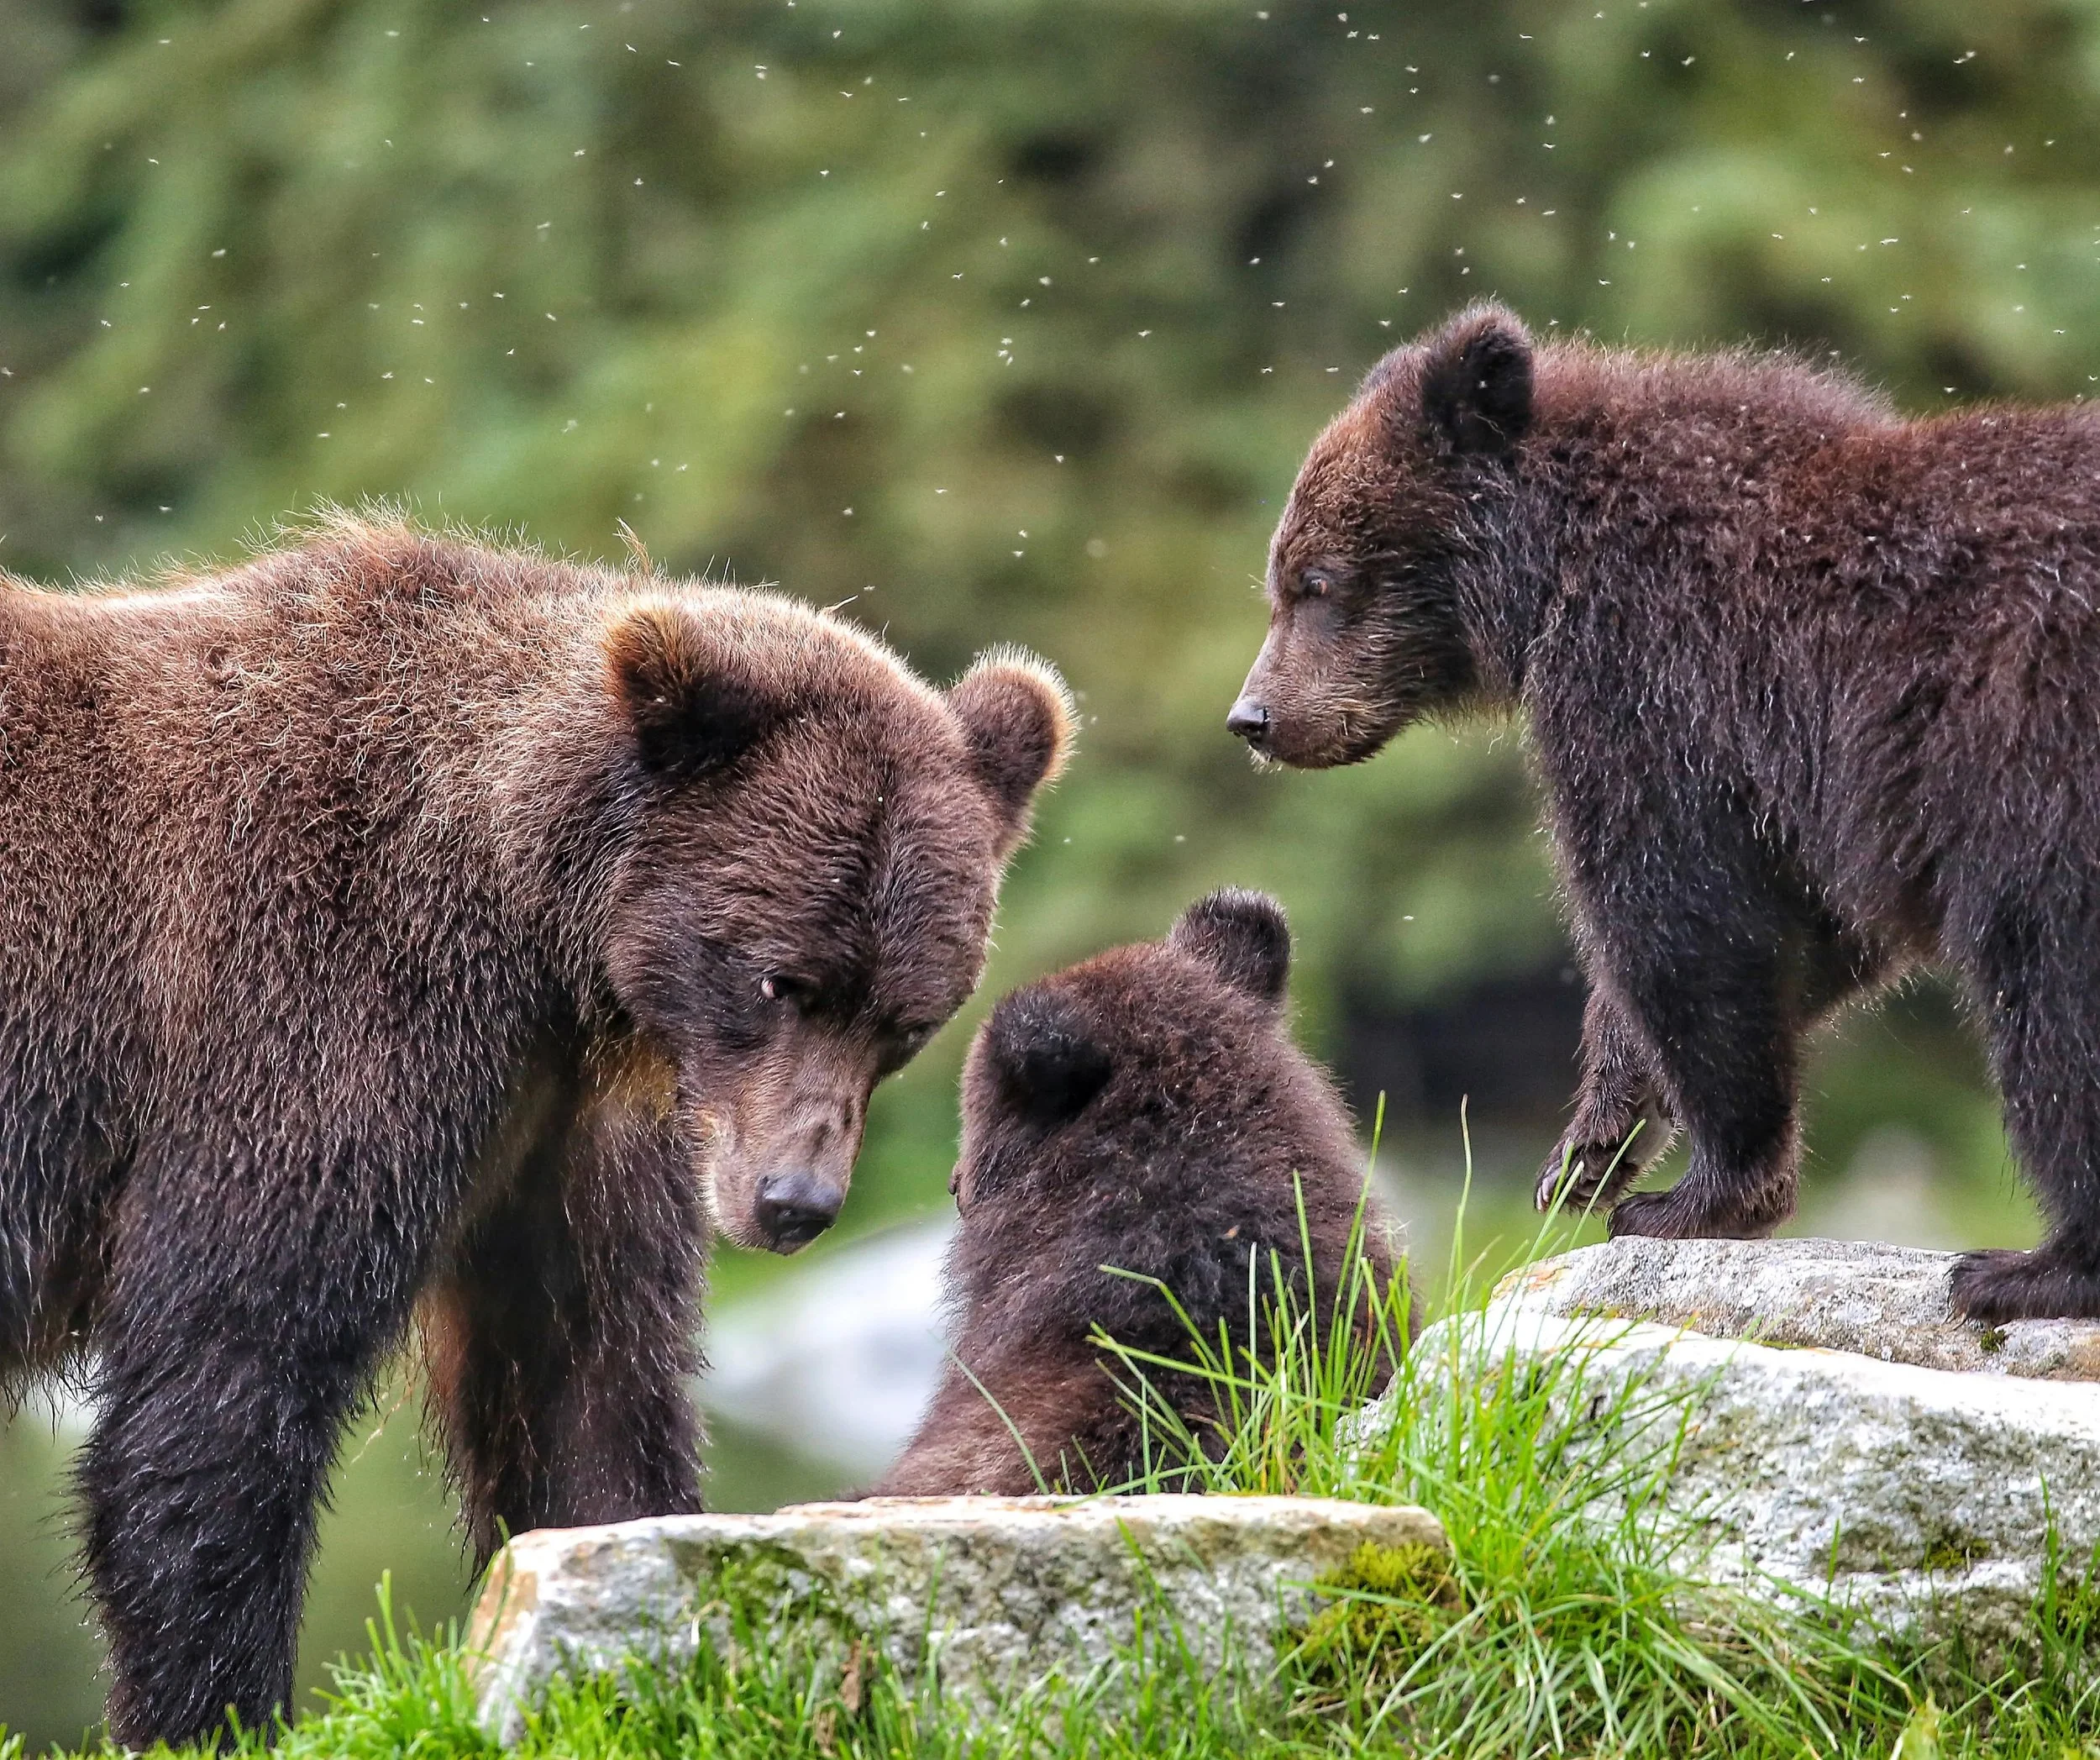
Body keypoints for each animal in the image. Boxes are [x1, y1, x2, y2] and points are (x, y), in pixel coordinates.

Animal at [0, 514, 1071, 1746]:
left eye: (904, 1017)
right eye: (780, 978)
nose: (793, 1200)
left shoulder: (561, 1129)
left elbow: (588, 1381)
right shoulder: (304, 1012)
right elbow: (228, 1372)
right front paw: (214, 1709)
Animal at [1226, 300, 2100, 1323]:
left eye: (1315, 580)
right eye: (1283, 579)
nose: (1253, 717)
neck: (1547, 577)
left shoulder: (1656, 687)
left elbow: (1683, 915)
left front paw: (1691, 1193)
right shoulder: (1805, 788)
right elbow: (1805, 931)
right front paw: (1589, 1149)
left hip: (2038, 774)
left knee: (2046, 1000)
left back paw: (2024, 1266)